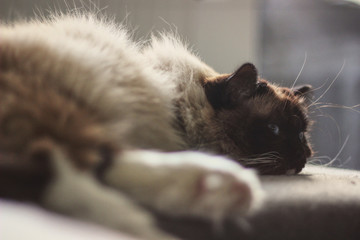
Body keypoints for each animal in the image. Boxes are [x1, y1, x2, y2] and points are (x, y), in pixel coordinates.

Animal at [0, 12, 310, 240]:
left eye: (302, 133)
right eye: (274, 130)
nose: (305, 155)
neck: (174, 104)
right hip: (56, 108)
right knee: (68, 167)